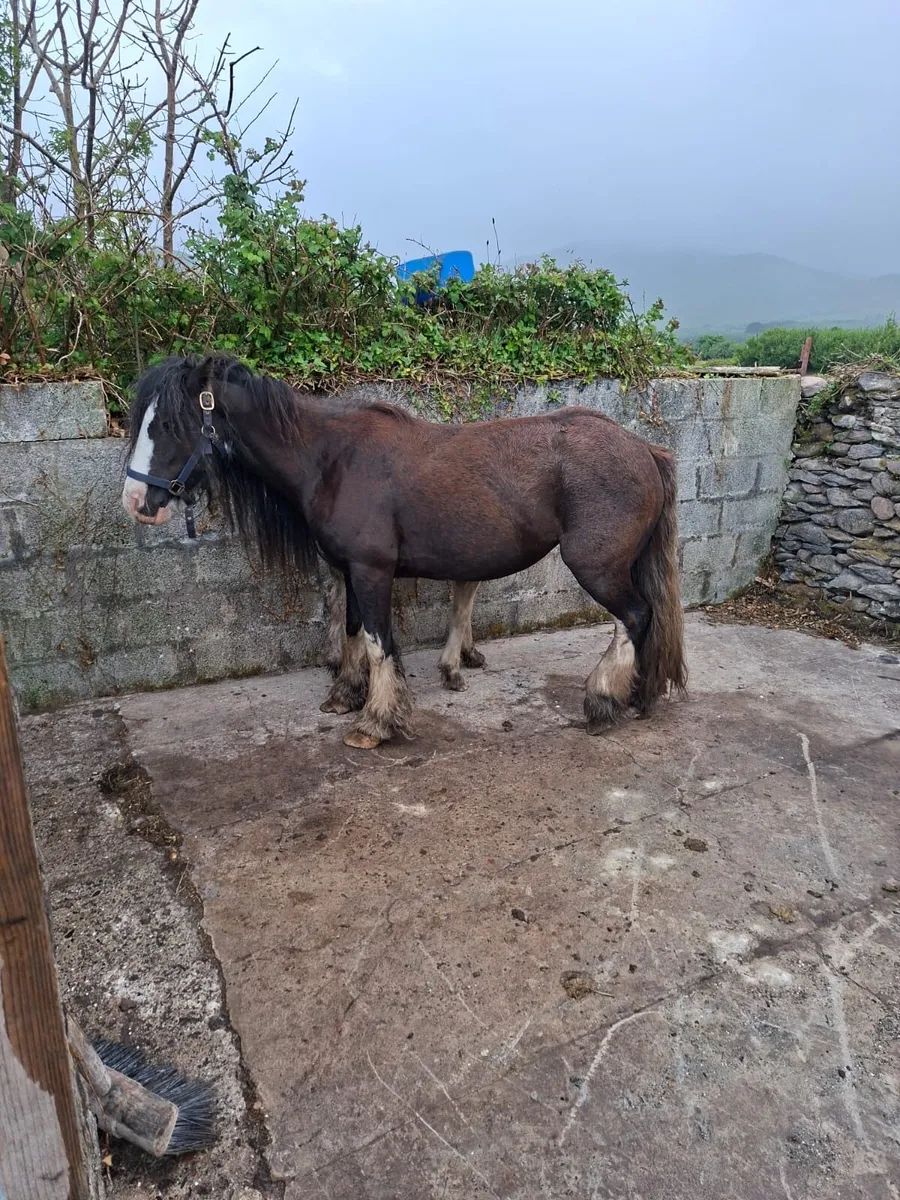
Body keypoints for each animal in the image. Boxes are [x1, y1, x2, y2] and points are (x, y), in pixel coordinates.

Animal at [121, 353, 687, 749]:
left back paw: (605, 700)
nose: (135, 501)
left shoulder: (373, 571)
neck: (331, 460)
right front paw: (346, 696)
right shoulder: (351, 570)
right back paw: (637, 695)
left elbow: (378, 642)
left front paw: (375, 721)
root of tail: (645, 449)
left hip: (597, 566)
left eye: (169, 424)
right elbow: (353, 631)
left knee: (635, 617)